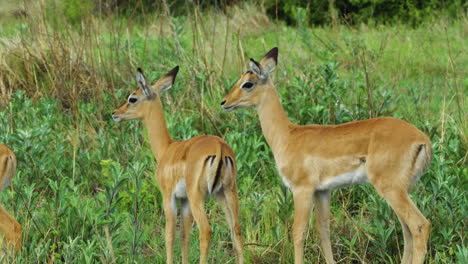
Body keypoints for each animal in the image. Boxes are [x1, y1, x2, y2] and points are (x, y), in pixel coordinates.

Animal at [112, 66, 245, 264]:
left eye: (132, 98)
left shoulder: (169, 197)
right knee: (236, 230)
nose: (115, 113)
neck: (167, 149)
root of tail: (219, 148)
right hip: (226, 193)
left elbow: (170, 236)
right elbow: (184, 236)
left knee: (206, 231)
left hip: (199, 196)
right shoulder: (185, 201)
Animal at [221, 48, 434, 264]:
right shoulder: (322, 191)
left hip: (391, 189)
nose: (224, 102)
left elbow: (298, 233)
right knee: (407, 230)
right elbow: (323, 230)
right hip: (401, 190)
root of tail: (423, 139)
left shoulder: (302, 189)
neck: (287, 136)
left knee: (419, 225)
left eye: (248, 83)